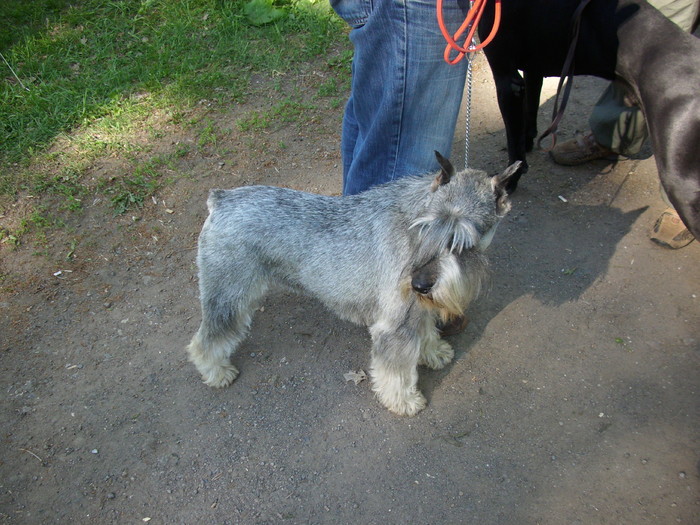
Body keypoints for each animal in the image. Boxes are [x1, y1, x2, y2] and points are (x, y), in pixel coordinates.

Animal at [187, 152, 520, 418]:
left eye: (465, 243)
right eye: (425, 228)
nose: (419, 283)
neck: (412, 218)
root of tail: (221, 199)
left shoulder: (417, 308)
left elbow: (425, 331)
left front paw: (434, 352)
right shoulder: (394, 326)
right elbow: (396, 371)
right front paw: (404, 401)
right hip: (227, 297)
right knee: (205, 340)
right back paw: (217, 372)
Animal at [478, 0, 700, 237]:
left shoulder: (507, 80)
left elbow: (514, 143)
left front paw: (510, 180)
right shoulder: (532, 70)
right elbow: (529, 115)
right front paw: (528, 144)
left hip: (680, 180)